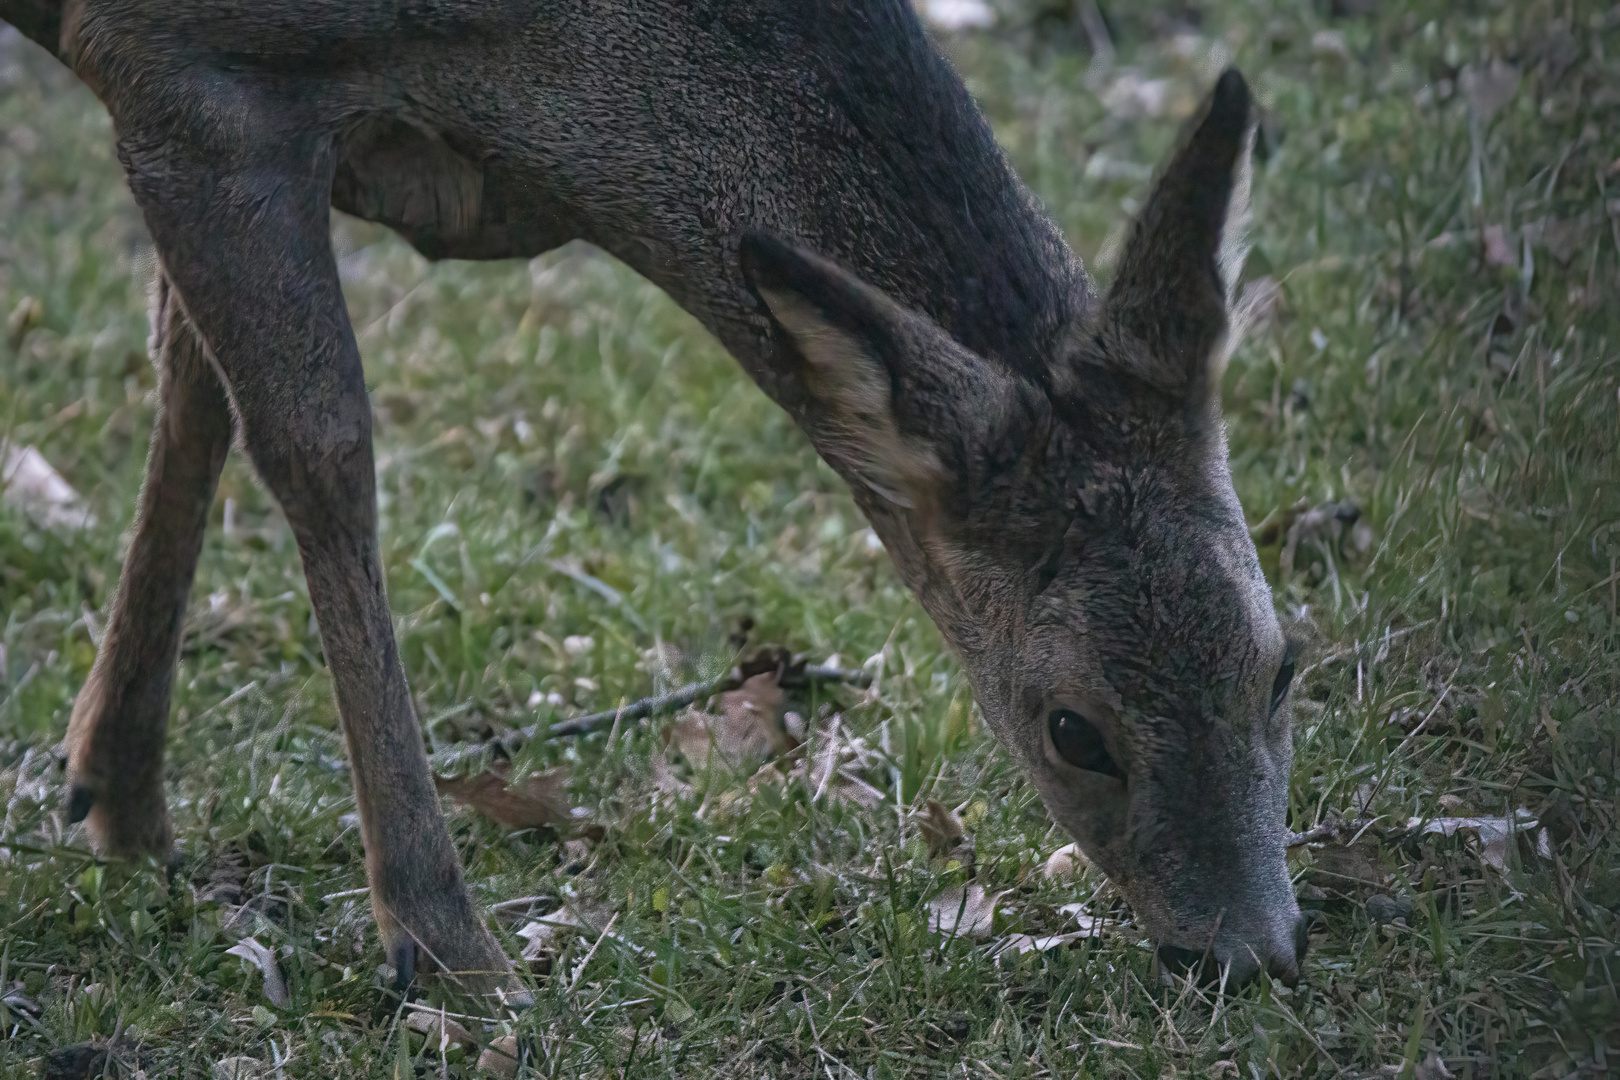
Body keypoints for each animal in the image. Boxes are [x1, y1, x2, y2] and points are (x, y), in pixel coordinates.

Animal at [0, 0, 1308, 1003]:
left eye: (1282, 662)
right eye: (1073, 729)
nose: (1253, 955)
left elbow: (190, 383)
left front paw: (114, 787)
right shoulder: (185, 79)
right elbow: (321, 455)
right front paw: (444, 944)